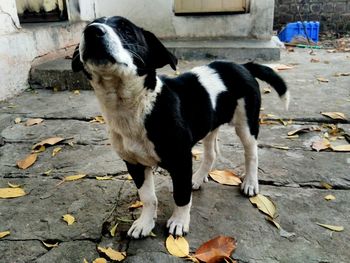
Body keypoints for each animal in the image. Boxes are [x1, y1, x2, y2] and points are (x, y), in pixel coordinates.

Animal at [70, 16, 288, 239]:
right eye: (88, 27)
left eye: (127, 31)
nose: (92, 31)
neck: (135, 107)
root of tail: (243, 66)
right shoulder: (134, 164)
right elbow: (148, 197)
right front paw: (145, 222)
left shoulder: (181, 161)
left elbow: (181, 195)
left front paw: (179, 222)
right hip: (210, 125)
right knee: (211, 153)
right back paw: (198, 178)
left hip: (246, 123)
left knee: (251, 153)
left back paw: (251, 183)